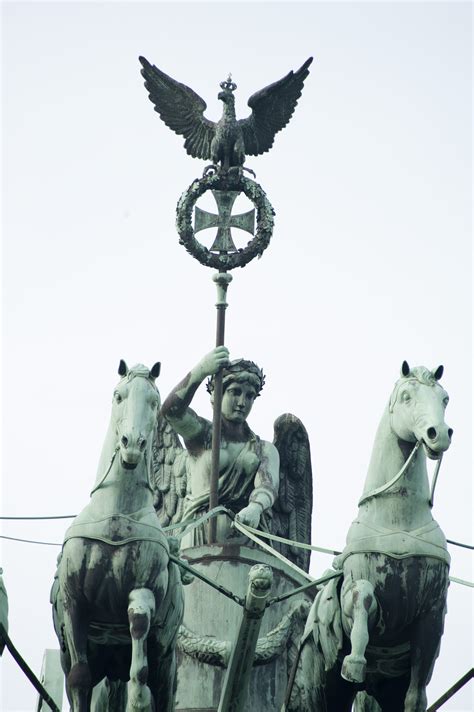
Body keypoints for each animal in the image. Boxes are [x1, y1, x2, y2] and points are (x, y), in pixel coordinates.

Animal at [51, 362, 184, 712]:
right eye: (118, 395)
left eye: (154, 401)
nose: (132, 443)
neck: (117, 514)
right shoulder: (73, 601)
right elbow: (79, 678)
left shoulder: (143, 588)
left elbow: (138, 651)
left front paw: (138, 699)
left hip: (166, 666)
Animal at [290, 362, 454, 712]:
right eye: (406, 397)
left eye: (445, 398)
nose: (439, 433)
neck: (400, 521)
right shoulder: (358, 591)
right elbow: (362, 598)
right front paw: (355, 661)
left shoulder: (432, 614)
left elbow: (415, 695)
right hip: (320, 685)